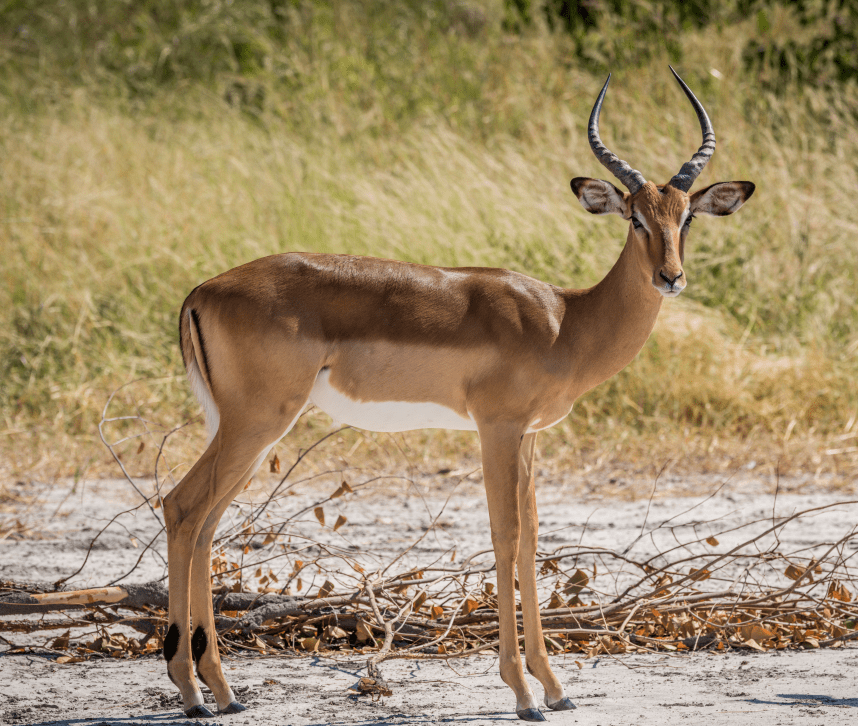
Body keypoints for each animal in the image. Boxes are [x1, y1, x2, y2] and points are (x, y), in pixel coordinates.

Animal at [164, 69, 752, 724]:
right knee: (183, 507)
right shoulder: (496, 427)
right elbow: (505, 535)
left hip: (244, 429)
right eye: (635, 218)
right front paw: (523, 694)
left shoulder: (527, 437)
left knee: (205, 522)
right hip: (258, 422)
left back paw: (221, 692)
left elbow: (532, 538)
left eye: (686, 217)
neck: (565, 321)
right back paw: (194, 693)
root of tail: (203, 290)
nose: (670, 277)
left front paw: (555, 687)